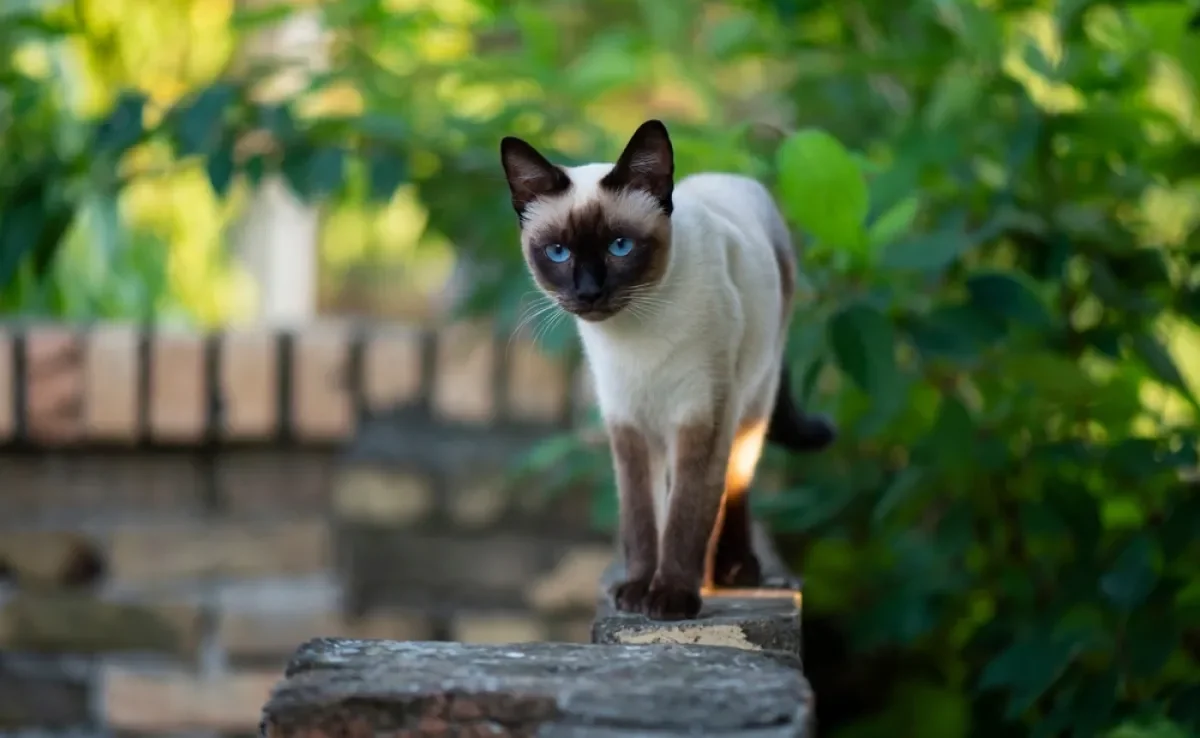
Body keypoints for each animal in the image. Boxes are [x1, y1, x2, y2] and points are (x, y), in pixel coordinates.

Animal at [496, 123, 835, 624]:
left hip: (752, 400)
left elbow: (686, 516)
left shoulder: (700, 418)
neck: (635, 336)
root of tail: (729, 177)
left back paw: (732, 572)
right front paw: (637, 591)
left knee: (736, 480)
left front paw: (672, 597)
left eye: (620, 246)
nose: (589, 292)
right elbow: (641, 519)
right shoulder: (628, 423)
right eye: (558, 252)